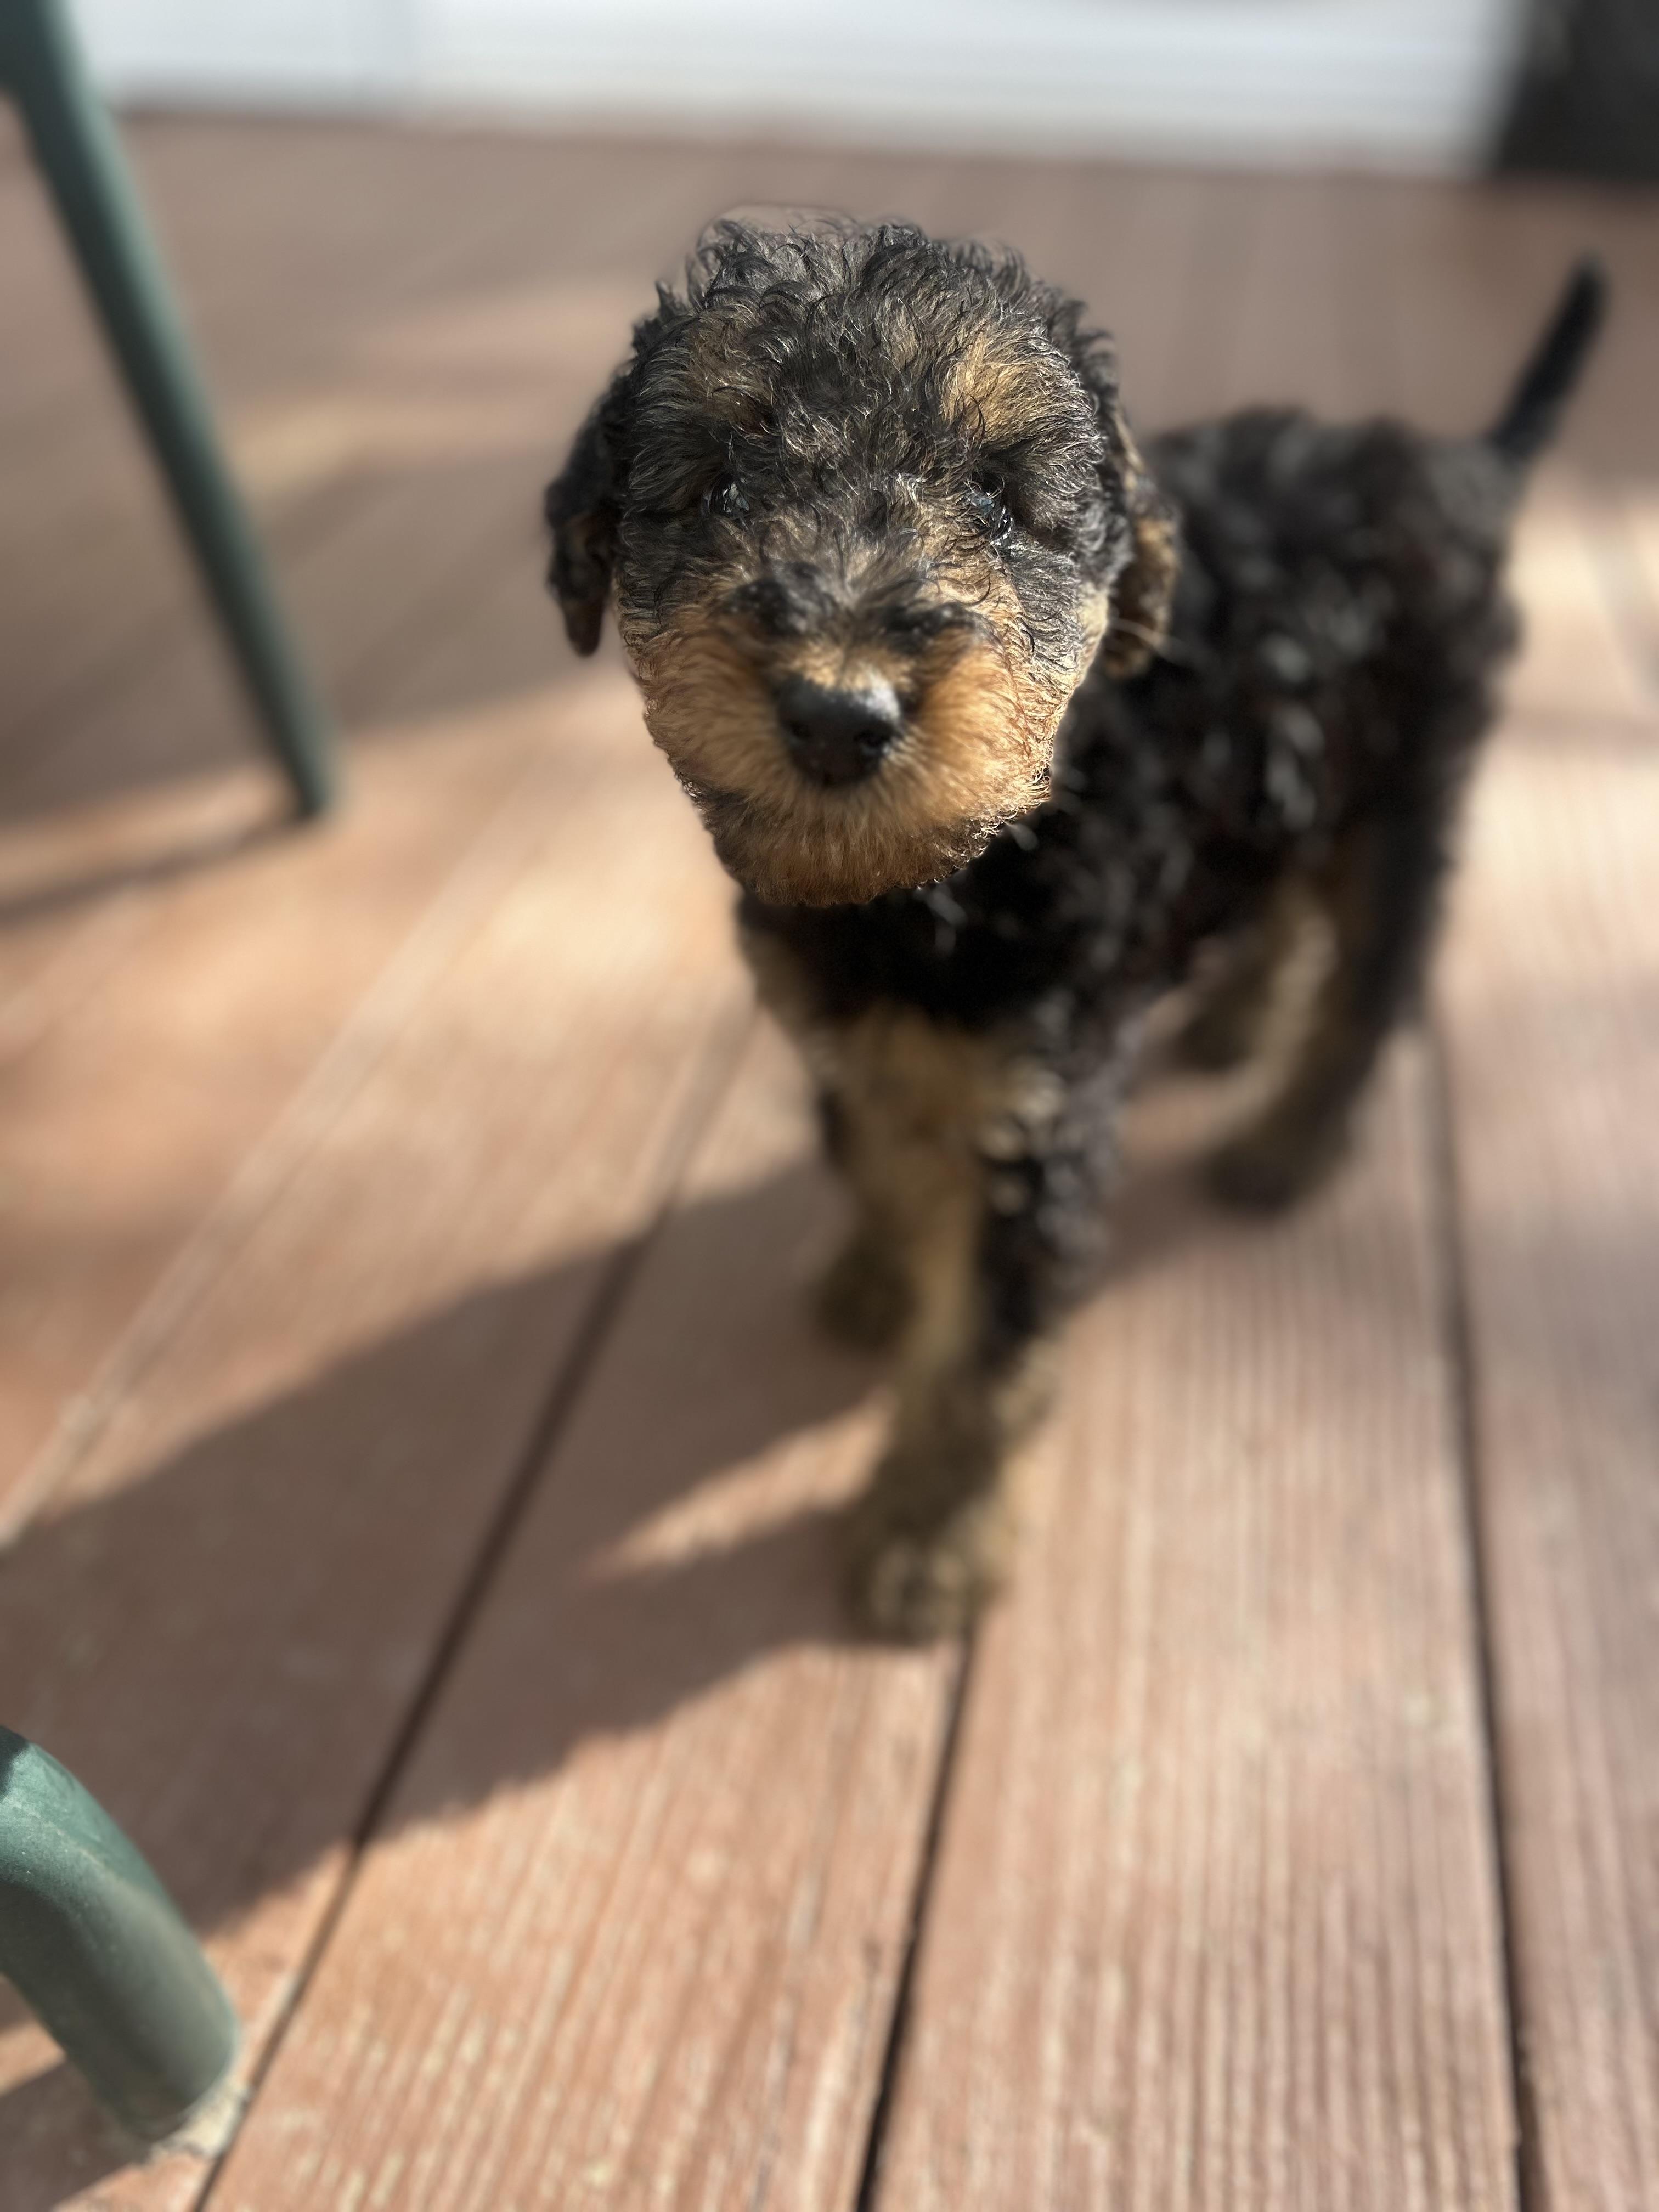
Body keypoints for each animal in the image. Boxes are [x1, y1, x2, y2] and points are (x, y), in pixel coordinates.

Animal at [544, 219, 1604, 1639]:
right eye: (713, 480)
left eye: (999, 496)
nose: (839, 714)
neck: (940, 881)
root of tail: (1458, 468)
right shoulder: (855, 1021)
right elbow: (875, 1143)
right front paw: (882, 1271)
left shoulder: (1034, 1115)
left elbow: (983, 1358)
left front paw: (928, 1536)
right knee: (1279, 902)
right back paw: (1231, 1022)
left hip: (1406, 786)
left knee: (1375, 980)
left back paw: (1288, 1139)